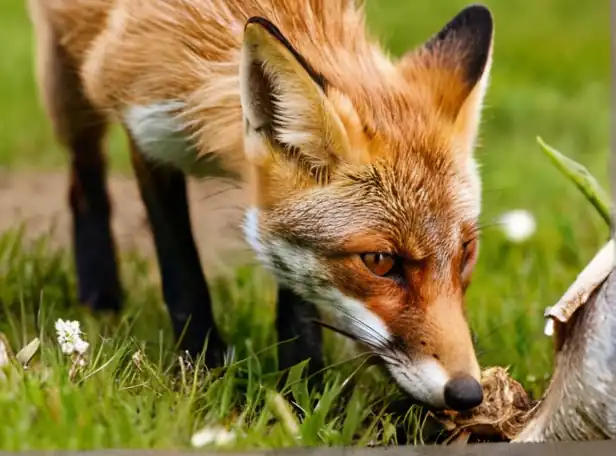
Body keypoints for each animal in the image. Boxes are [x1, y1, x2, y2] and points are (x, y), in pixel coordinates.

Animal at [26, 0, 494, 412]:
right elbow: (182, 271)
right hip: (67, 72)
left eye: (467, 252)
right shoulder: (145, 124)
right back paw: (99, 292)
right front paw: (202, 368)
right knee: (84, 180)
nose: (467, 393)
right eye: (380, 261)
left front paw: (304, 390)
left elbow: (294, 291)